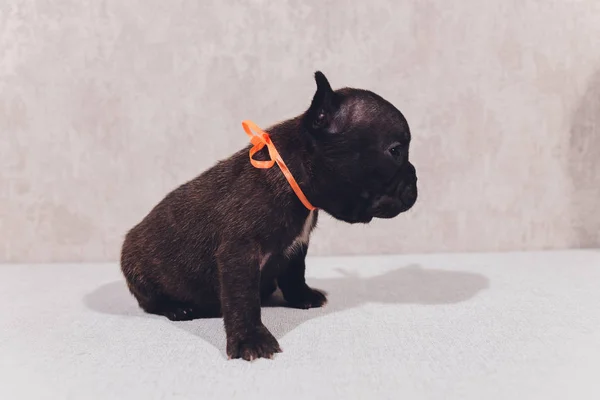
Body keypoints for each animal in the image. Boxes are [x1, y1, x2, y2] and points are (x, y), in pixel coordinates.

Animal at [119, 70, 414, 360]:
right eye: (395, 151)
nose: (415, 182)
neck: (293, 172)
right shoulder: (241, 252)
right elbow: (243, 298)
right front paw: (250, 340)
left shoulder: (298, 246)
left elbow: (295, 273)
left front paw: (302, 297)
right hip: (138, 269)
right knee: (150, 301)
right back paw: (177, 308)